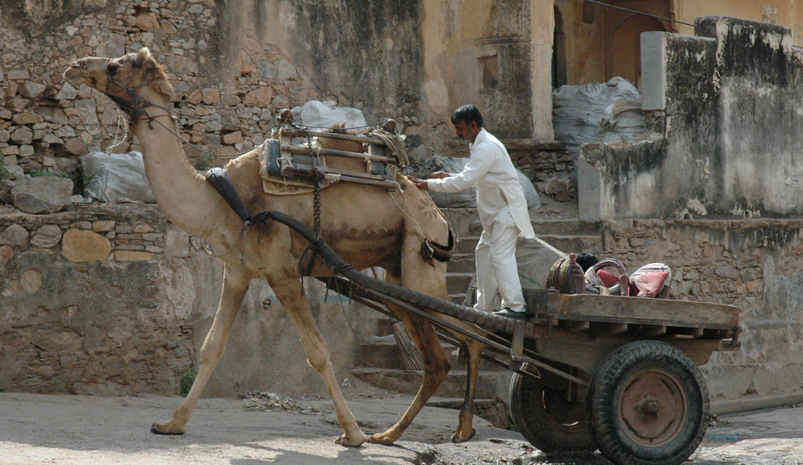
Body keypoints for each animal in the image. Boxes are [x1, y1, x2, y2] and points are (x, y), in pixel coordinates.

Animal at [62, 48, 486, 446]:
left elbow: (318, 353)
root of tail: (438, 214)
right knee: (438, 360)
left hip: (420, 259)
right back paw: (394, 434)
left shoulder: (282, 272)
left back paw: (459, 428)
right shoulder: (237, 271)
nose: (74, 66)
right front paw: (172, 423)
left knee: (468, 333)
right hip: (398, 275)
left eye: (114, 66)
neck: (221, 201)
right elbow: (212, 347)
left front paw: (352, 433)